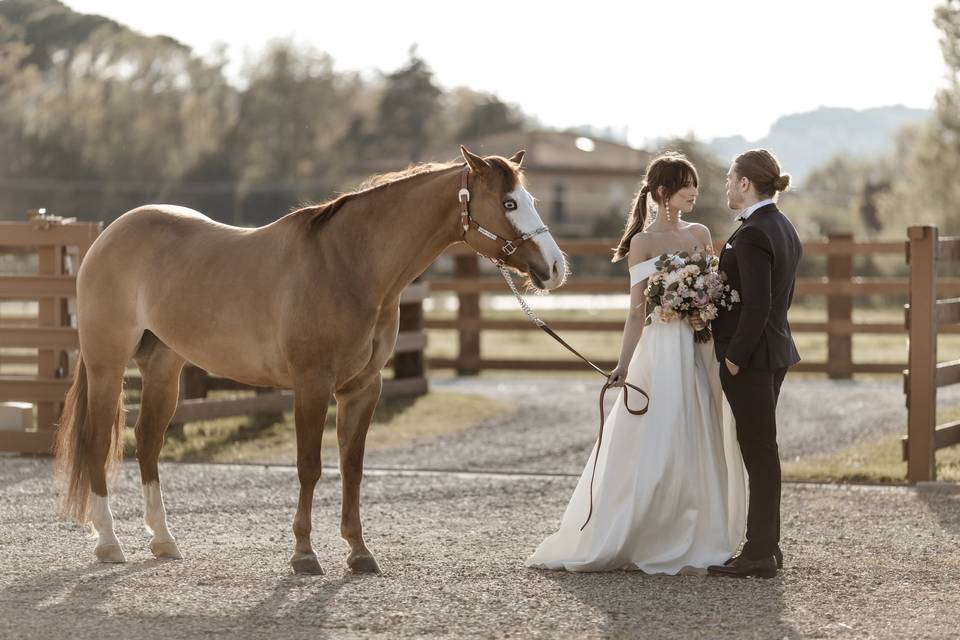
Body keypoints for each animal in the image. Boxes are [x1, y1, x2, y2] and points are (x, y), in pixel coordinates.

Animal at [54, 146, 564, 576]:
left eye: (528, 198)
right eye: (509, 204)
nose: (556, 268)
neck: (348, 265)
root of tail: (108, 235)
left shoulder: (364, 387)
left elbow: (352, 467)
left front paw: (359, 552)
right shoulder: (312, 384)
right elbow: (310, 466)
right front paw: (304, 554)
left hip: (164, 367)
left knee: (147, 442)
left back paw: (163, 541)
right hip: (107, 364)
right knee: (98, 440)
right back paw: (109, 543)